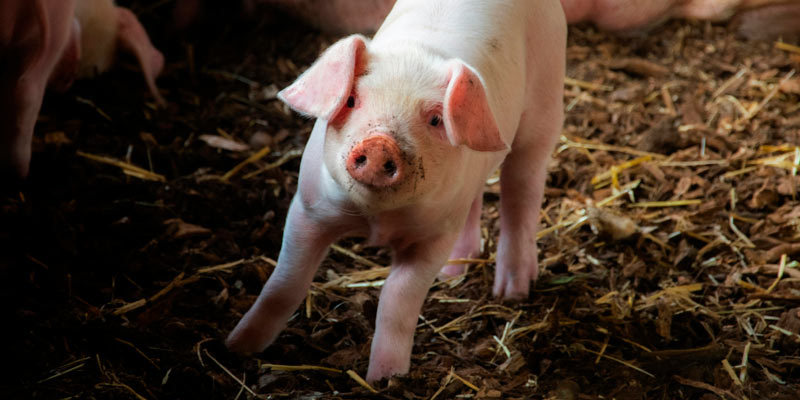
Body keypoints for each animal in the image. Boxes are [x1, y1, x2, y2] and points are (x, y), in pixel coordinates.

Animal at [226, 0, 566, 382]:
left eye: (435, 119)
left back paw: (512, 293)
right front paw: (236, 348)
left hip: (545, 102)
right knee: (479, 197)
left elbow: (397, 300)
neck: (377, 221)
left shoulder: (434, 237)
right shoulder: (309, 209)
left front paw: (384, 379)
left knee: (521, 192)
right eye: (352, 100)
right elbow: (285, 285)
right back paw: (452, 274)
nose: (380, 144)